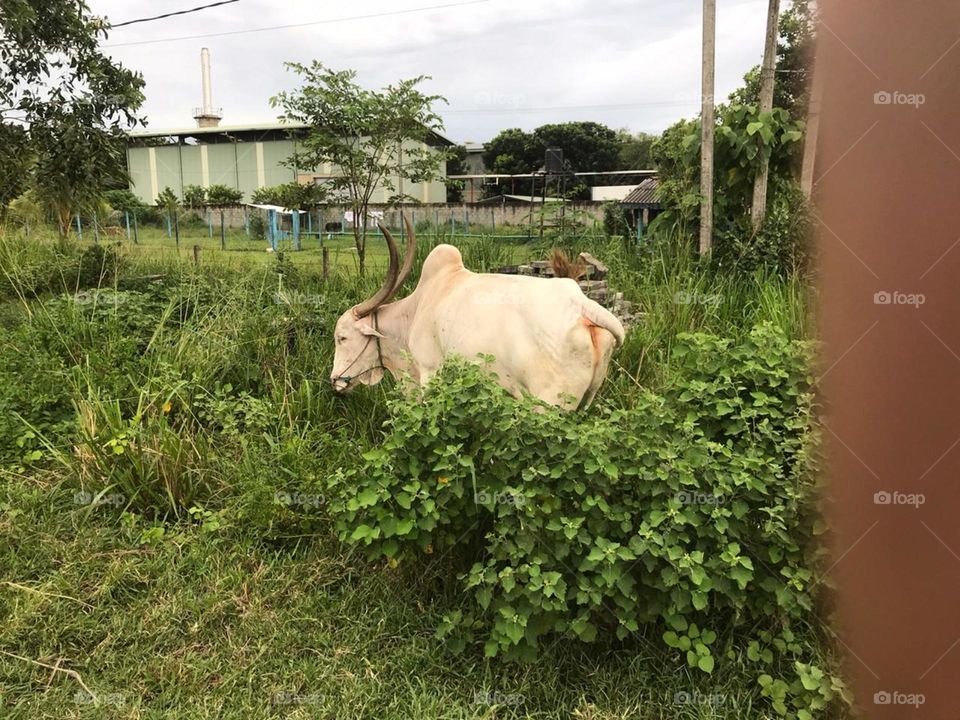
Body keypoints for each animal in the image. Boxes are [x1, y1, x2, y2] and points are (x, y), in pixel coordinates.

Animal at [329, 217, 625, 410]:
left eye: (342, 338)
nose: (335, 382)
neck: (413, 314)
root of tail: (580, 304)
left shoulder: (429, 373)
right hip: (585, 402)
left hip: (549, 405)